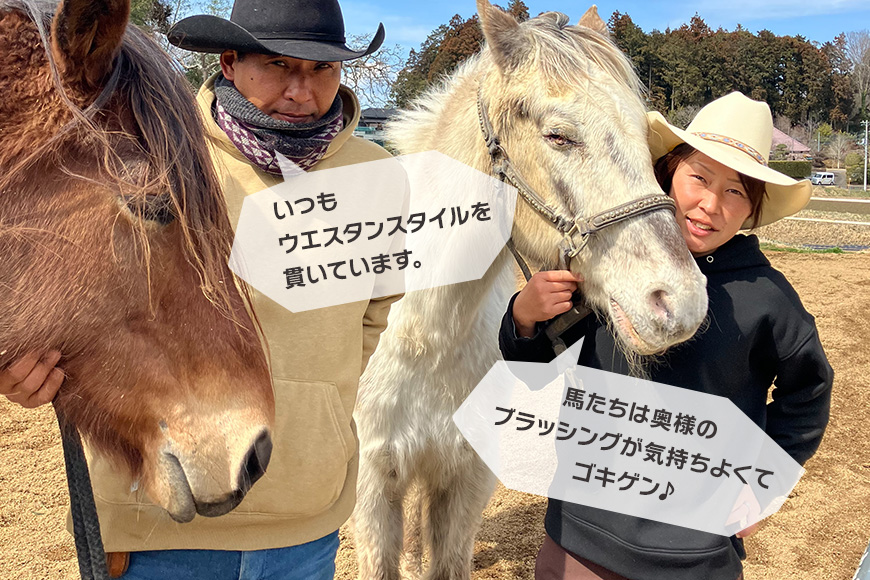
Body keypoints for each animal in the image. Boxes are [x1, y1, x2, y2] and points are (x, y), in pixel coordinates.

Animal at [353, 2, 709, 579]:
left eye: (642, 133)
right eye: (558, 137)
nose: (681, 301)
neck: (424, 334)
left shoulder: (466, 478)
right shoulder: (370, 489)